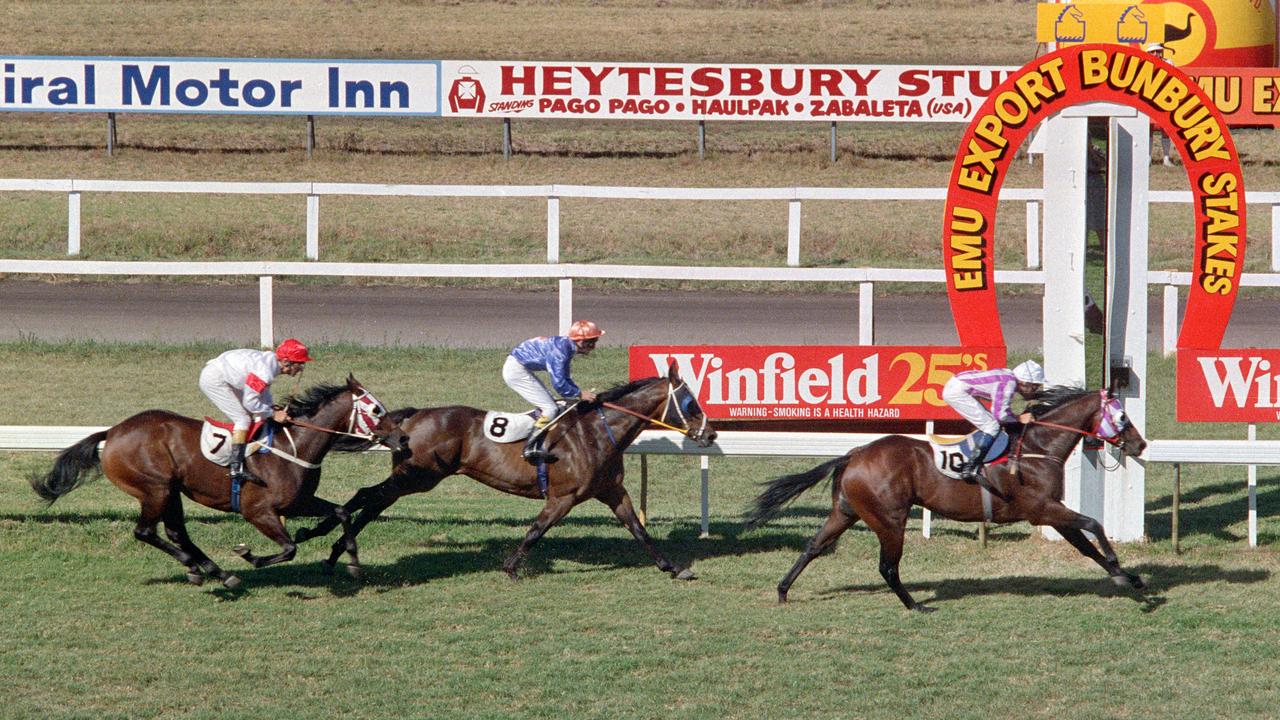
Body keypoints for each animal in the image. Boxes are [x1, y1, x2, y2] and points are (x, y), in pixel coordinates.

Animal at [747, 386, 1146, 609]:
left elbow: (1085, 545)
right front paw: (1125, 575)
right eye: (1123, 418)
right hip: (890, 519)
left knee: (813, 546)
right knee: (887, 566)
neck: (1037, 447)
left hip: (846, 512)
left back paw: (782, 591)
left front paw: (1127, 577)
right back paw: (915, 606)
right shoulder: (1041, 509)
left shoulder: (1051, 512)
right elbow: (1094, 523)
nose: (1140, 444)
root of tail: (855, 453)